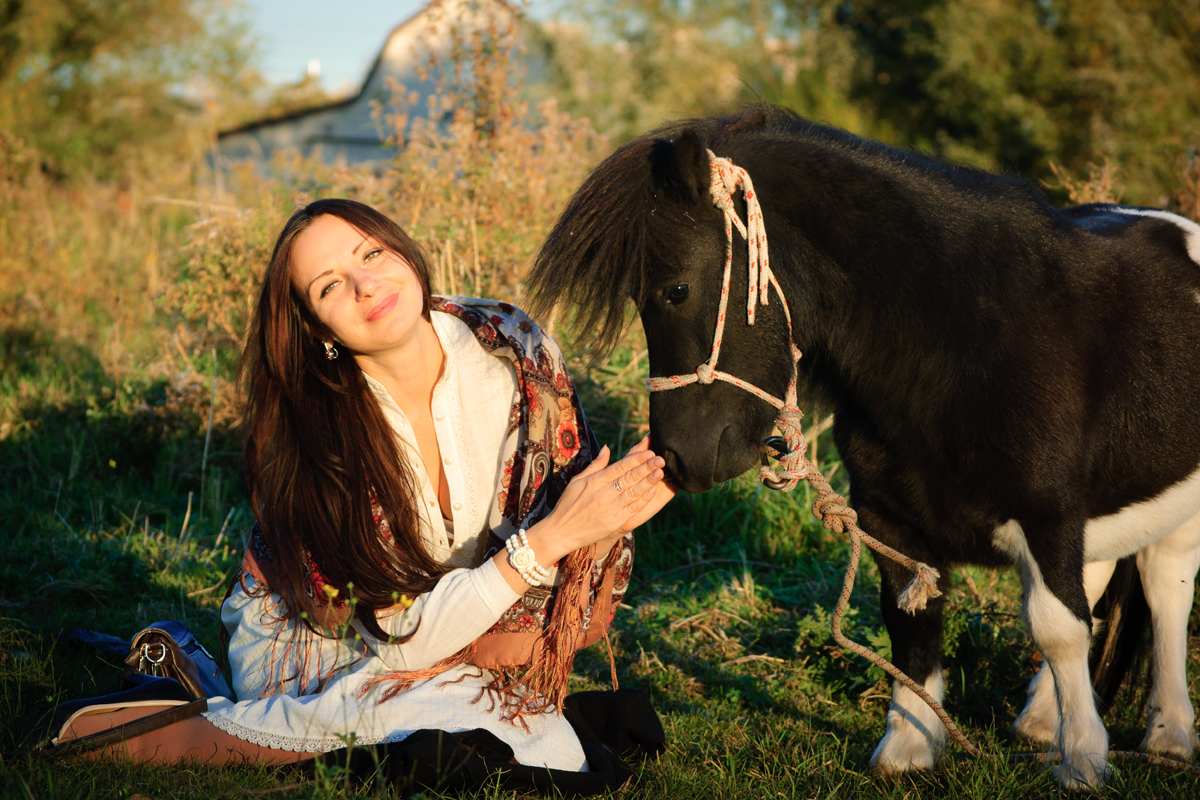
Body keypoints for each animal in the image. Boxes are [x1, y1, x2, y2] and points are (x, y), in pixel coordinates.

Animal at [532, 106, 1200, 786]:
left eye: (676, 290)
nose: (677, 457)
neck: (963, 346)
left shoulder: (1049, 514)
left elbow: (1059, 627)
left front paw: (1084, 759)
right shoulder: (888, 516)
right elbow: (911, 619)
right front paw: (908, 749)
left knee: (1165, 587)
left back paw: (1168, 734)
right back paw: (1043, 720)